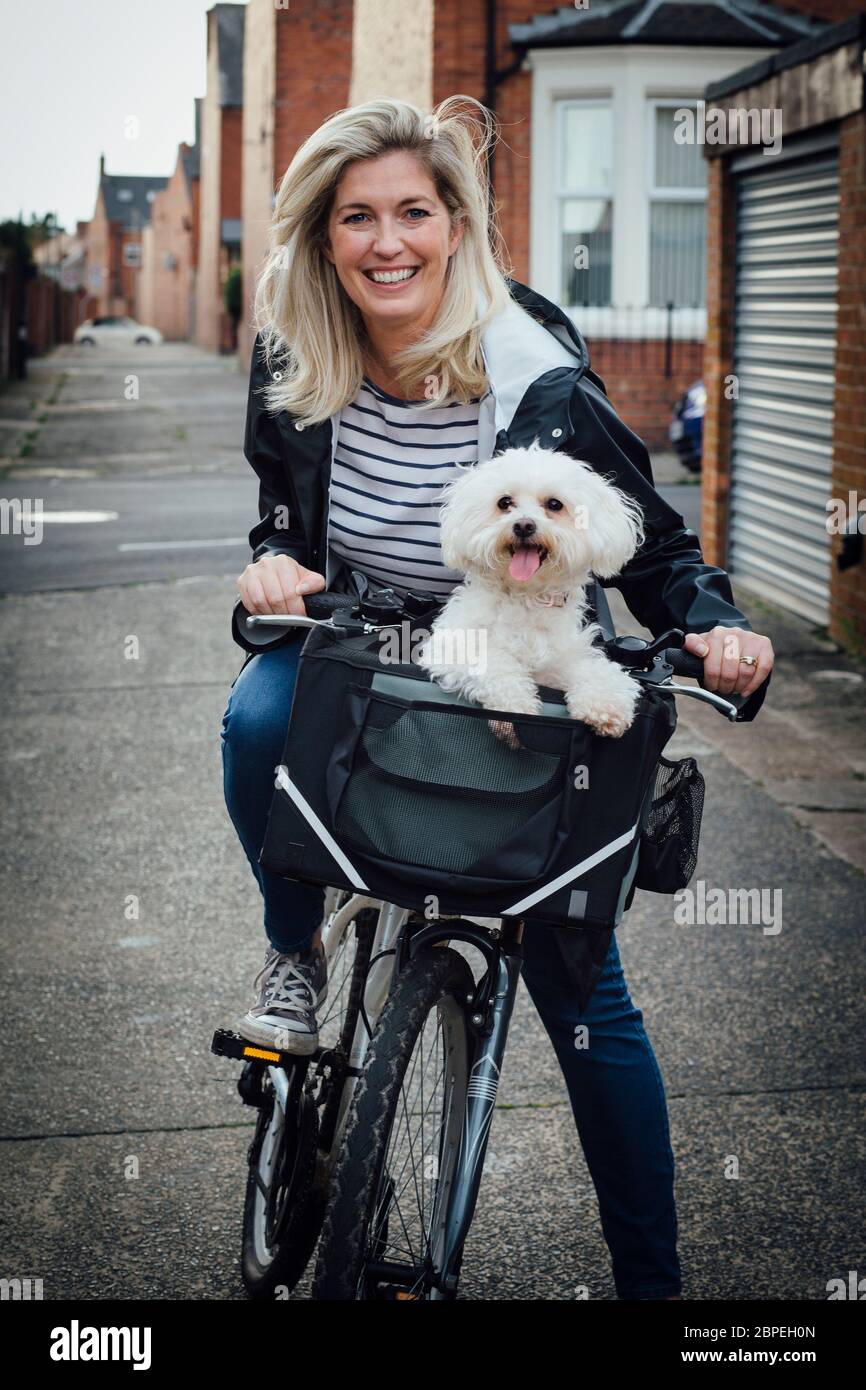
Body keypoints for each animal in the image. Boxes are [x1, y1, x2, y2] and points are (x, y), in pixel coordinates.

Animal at [417, 442, 647, 739]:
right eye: (504, 503)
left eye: (554, 504)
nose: (524, 525)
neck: (525, 596)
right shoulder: (453, 647)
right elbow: (495, 662)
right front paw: (515, 706)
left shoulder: (561, 661)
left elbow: (599, 671)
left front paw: (604, 706)